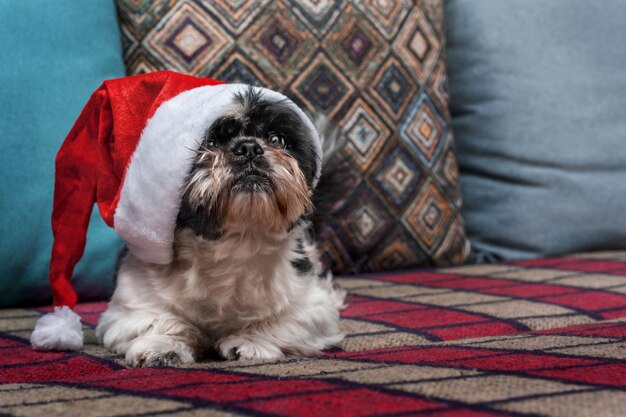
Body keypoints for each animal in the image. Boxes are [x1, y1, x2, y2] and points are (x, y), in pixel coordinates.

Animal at [95, 87, 344, 364]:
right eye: (211, 143)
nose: (249, 147)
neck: (236, 243)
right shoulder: (131, 305)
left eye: (277, 139)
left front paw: (250, 341)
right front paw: (163, 345)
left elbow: (283, 321)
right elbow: (160, 320)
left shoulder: (312, 308)